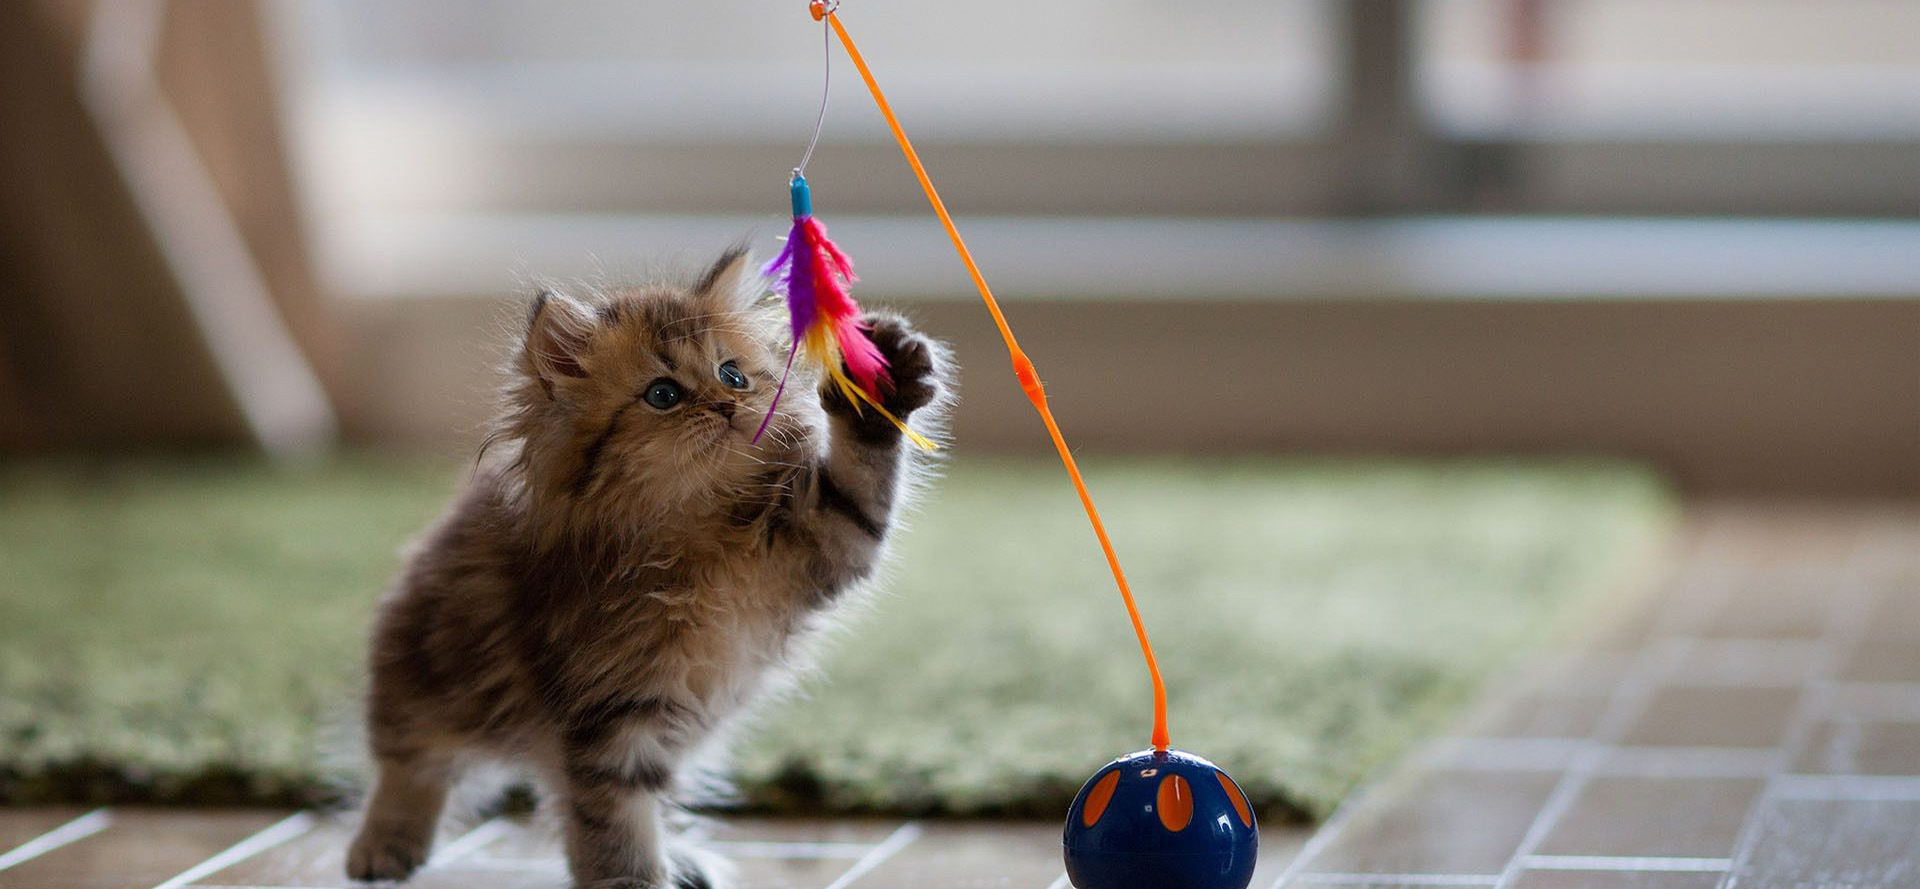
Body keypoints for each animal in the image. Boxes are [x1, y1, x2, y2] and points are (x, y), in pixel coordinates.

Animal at [349, 249, 948, 889]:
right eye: (663, 394)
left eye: (732, 375)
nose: (727, 405)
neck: (698, 536)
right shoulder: (609, 710)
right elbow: (616, 822)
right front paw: (633, 880)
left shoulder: (823, 539)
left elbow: (861, 476)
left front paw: (884, 379)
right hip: (426, 672)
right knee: (411, 761)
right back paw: (384, 845)